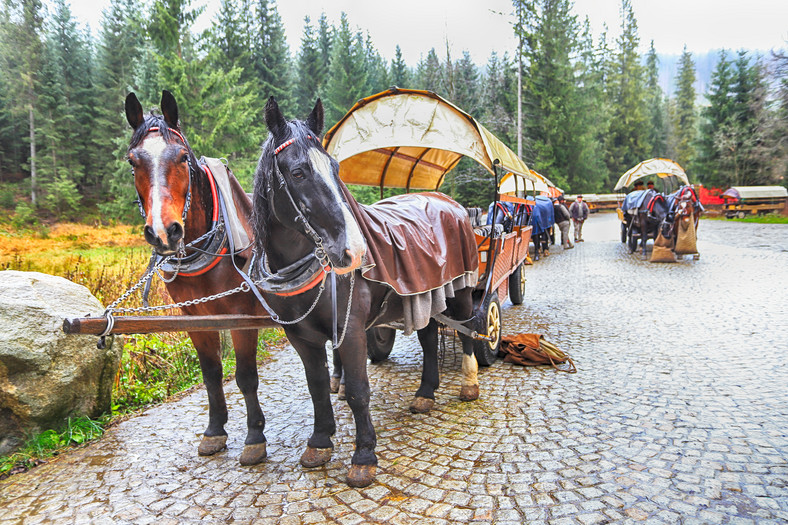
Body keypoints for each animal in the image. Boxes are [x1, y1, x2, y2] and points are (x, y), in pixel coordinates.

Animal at [124, 92, 268, 464]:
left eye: (182, 157)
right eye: (133, 162)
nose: (164, 231)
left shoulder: (242, 316)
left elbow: (245, 376)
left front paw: (254, 436)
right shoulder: (195, 317)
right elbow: (212, 374)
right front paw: (215, 430)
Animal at [251, 97, 480, 488]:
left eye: (334, 168)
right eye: (297, 172)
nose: (354, 251)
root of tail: (448, 202)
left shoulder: (352, 330)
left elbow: (359, 390)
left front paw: (364, 456)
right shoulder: (302, 337)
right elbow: (317, 387)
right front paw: (320, 442)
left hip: (460, 290)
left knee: (466, 329)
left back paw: (468, 384)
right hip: (424, 296)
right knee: (429, 337)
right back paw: (425, 393)